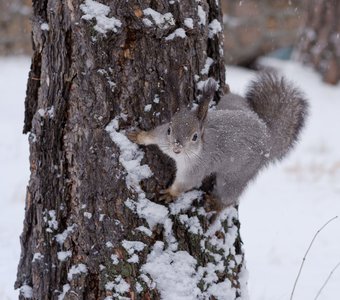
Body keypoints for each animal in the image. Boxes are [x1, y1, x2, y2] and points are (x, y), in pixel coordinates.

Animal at [127, 73, 308, 206]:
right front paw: (139, 136)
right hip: (233, 105)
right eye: (170, 129)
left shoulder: (197, 167)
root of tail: (267, 134)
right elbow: (152, 135)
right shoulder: (162, 136)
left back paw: (216, 204)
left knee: (229, 196)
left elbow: (186, 183)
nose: (176, 147)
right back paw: (227, 90)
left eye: (195, 137)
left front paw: (171, 193)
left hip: (236, 175)